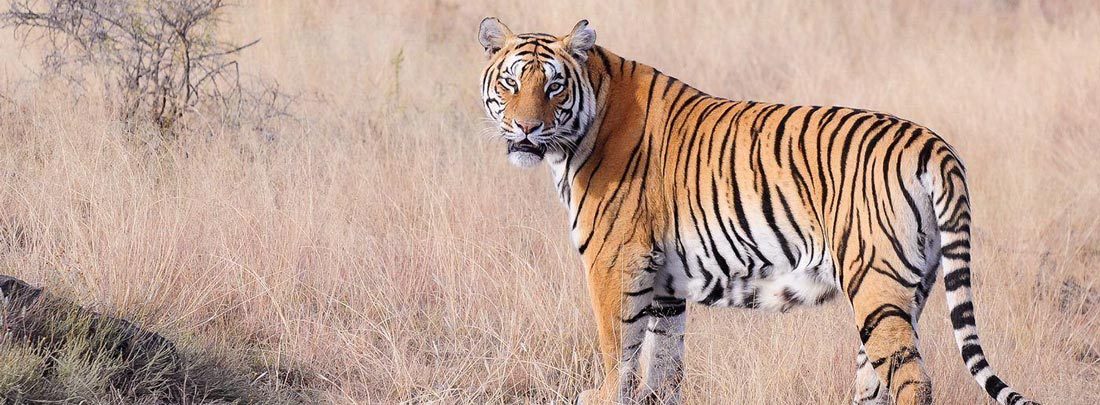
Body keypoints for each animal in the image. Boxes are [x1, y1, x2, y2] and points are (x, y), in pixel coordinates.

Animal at [476, 17, 1039, 405]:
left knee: (913, 381)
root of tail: (931, 143)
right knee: (874, 382)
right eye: (511, 84)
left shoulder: (615, 263)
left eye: (553, 86)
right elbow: (663, 368)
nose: (526, 128)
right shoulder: (663, 285)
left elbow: (618, 349)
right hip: (907, 289)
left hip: (875, 283)